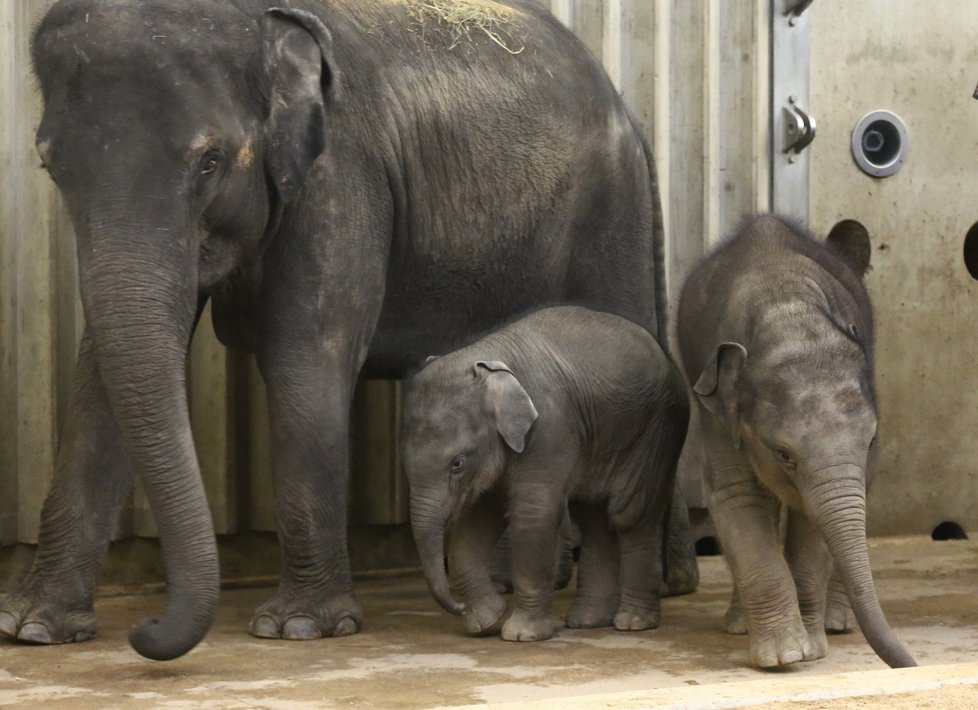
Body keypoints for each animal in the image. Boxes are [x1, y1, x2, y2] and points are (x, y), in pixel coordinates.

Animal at [396, 306, 688, 644]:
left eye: (457, 464)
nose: (458, 607)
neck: (488, 359)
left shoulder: (549, 427)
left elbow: (531, 515)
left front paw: (521, 635)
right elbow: (476, 522)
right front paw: (486, 621)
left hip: (654, 433)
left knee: (628, 516)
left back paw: (632, 623)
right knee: (595, 519)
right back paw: (587, 622)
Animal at [676, 214, 912, 672]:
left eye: (871, 441)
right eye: (784, 454)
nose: (908, 665)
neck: (787, 316)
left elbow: (814, 519)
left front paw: (813, 649)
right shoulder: (719, 408)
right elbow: (738, 496)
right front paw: (783, 656)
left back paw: (834, 623)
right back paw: (739, 624)